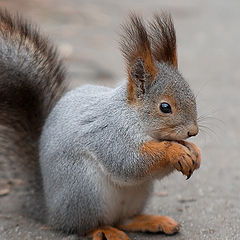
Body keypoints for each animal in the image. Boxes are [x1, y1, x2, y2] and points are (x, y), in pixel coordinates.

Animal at [0, 8, 201, 240]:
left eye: (192, 95)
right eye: (165, 107)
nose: (193, 131)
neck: (133, 116)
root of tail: (51, 212)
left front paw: (194, 151)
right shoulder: (109, 134)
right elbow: (129, 163)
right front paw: (175, 151)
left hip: (137, 195)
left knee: (125, 220)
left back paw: (153, 221)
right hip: (84, 190)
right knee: (85, 226)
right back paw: (104, 230)